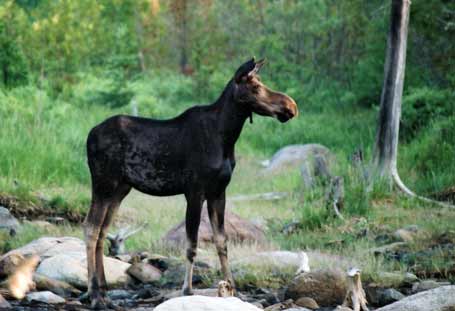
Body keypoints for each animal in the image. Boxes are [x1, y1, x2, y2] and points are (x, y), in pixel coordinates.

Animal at [83, 58, 298, 310]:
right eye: (255, 87)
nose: (291, 106)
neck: (226, 136)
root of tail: (89, 136)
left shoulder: (219, 192)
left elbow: (222, 242)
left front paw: (233, 290)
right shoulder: (194, 191)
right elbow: (192, 245)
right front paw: (187, 290)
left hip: (120, 188)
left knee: (103, 230)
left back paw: (105, 293)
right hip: (103, 182)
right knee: (90, 228)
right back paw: (94, 295)